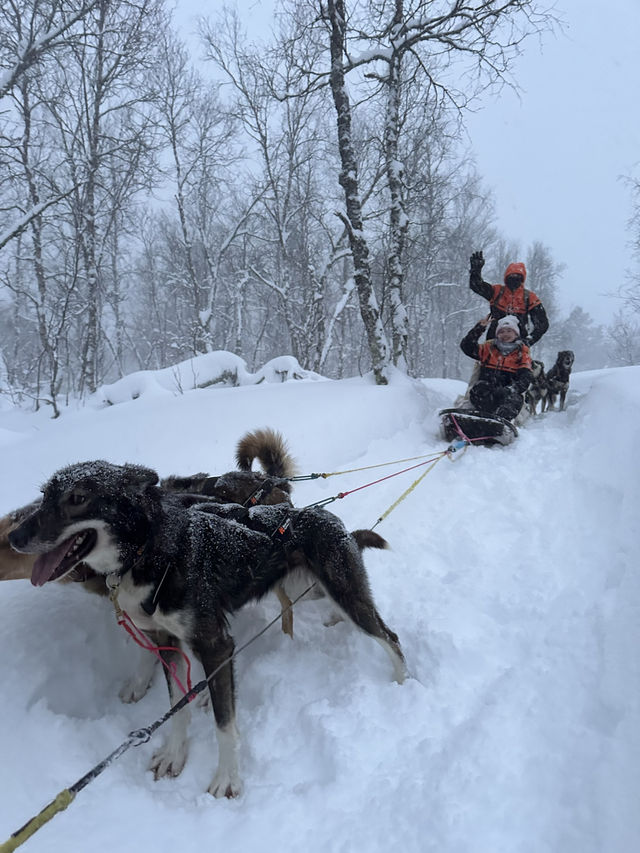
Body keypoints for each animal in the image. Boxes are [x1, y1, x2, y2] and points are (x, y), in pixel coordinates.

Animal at [8, 460, 404, 800]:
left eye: (77, 498)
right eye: (44, 496)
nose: (14, 536)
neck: (152, 552)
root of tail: (326, 515)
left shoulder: (216, 645)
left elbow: (224, 723)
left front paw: (226, 777)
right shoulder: (167, 642)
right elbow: (176, 707)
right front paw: (174, 753)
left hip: (345, 594)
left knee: (389, 637)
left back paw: (402, 680)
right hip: (309, 587)